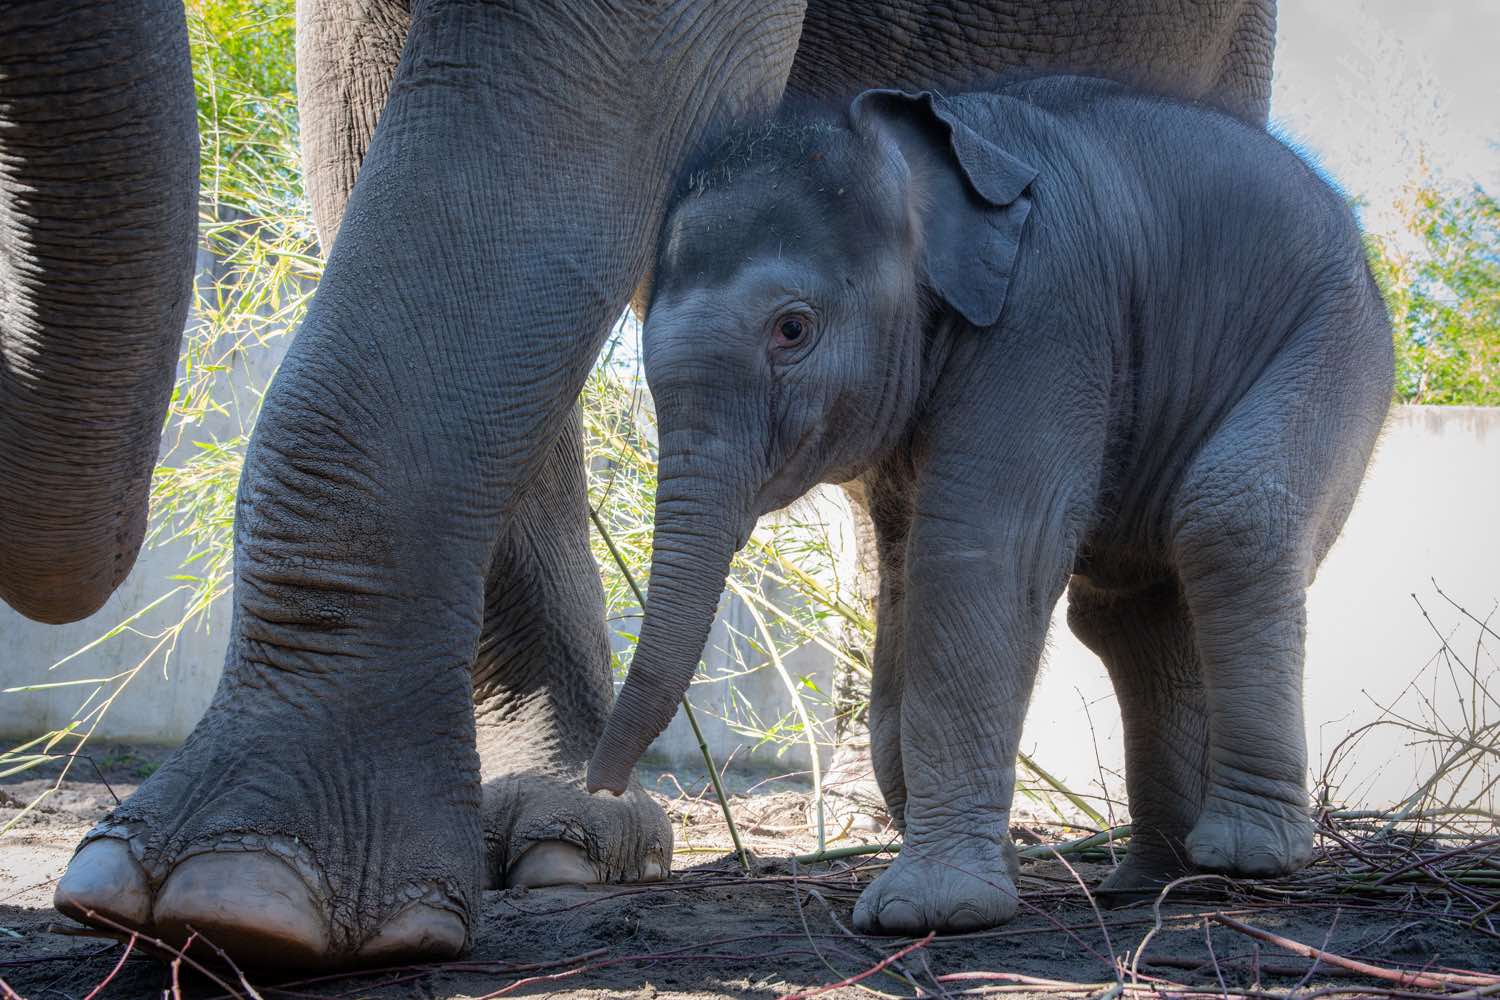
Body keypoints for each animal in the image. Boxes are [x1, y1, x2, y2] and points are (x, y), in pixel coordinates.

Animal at [585, 79, 1394, 933]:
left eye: (792, 329)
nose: (603, 790)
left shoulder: (1047, 314)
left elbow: (976, 551)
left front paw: (925, 910)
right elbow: (902, 579)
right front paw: (987, 870)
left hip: (1339, 343)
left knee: (1230, 517)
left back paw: (1244, 857)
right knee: (1129, 607)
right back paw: (1158, 879)